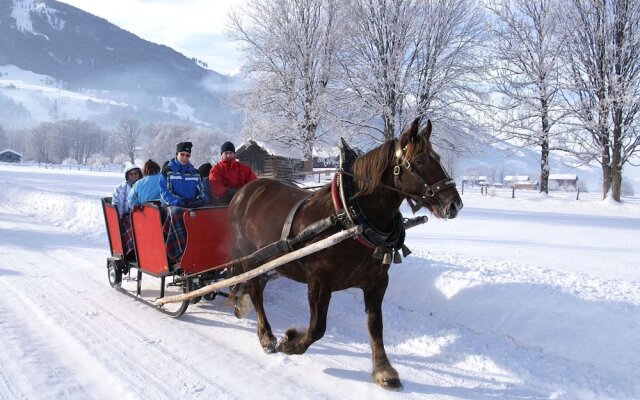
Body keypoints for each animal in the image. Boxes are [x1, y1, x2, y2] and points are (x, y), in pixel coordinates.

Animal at [228, 117, 462, 390]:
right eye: (422, 160)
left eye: (438, 157)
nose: (454, 204)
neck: (352, 217)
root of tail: (245, 191)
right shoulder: (319, 281)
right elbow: (317, 328)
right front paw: (290, 342)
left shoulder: (377, 282)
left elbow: (375, 326)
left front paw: (384, 370)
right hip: (250, 258)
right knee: (256, 291)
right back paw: (266, 336)